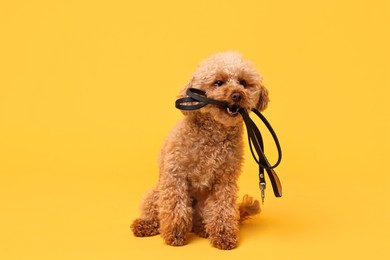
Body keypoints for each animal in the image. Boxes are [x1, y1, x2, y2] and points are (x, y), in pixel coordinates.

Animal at [129, 51, 270, 250]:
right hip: (156, 193)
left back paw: (203, 229)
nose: (237, 95)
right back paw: (145, 224)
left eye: (243, 82)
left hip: (203, 205)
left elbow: (223, 210)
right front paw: (175, 235)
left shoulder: (224, 181)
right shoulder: (175, 174)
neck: (214, 134)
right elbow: (176, 207)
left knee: (201, 220)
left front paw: (223, 236)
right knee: (157, 212)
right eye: (218, 82)